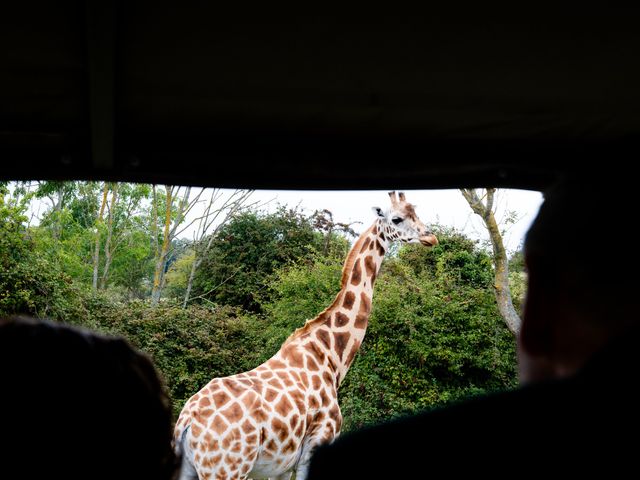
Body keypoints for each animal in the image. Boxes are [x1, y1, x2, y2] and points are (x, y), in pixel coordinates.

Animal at [172, 191, 438, 480]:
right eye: (397, 218)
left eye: (416, 212)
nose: (431, 237)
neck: (331, 356)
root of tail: (187, 423)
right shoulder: (317, 444)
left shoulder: (280, 464)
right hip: (227, 469)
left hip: (191, 469)